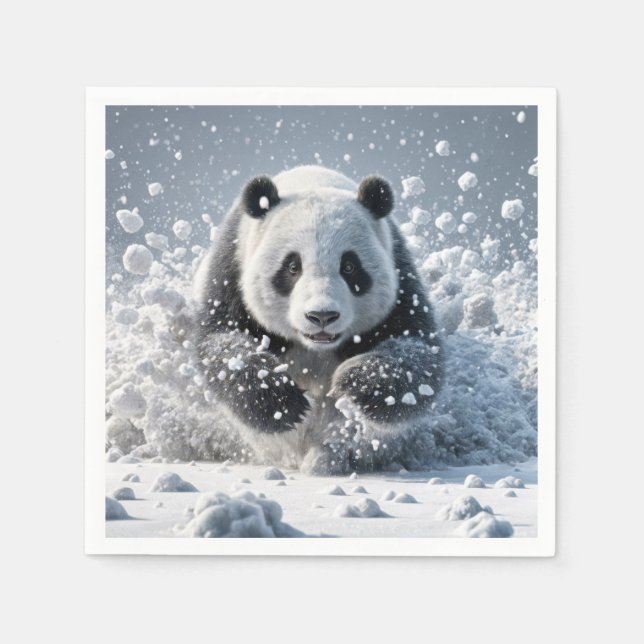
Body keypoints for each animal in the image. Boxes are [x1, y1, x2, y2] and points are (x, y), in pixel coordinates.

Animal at [196, 166, 441, 473]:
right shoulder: (231, 272)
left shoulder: (400, 278)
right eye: (292, 267)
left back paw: (326, 458)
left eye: (349, 266)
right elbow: (223, 346)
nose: (321, 316)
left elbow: (417, 358)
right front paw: (282, 402)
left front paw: (354, 385)